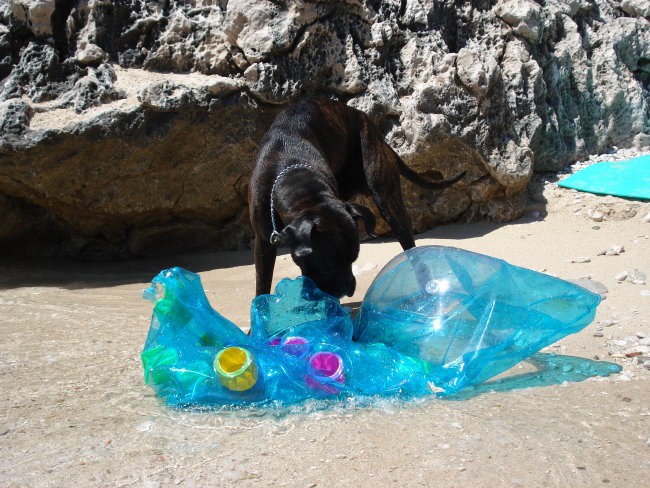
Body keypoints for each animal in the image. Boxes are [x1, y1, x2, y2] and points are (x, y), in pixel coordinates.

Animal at [246, 98, 464, 298]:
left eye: (352, 260)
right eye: (327, 267)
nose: (347, 289)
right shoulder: (264, 242)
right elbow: (262, 282)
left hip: (387, 200)